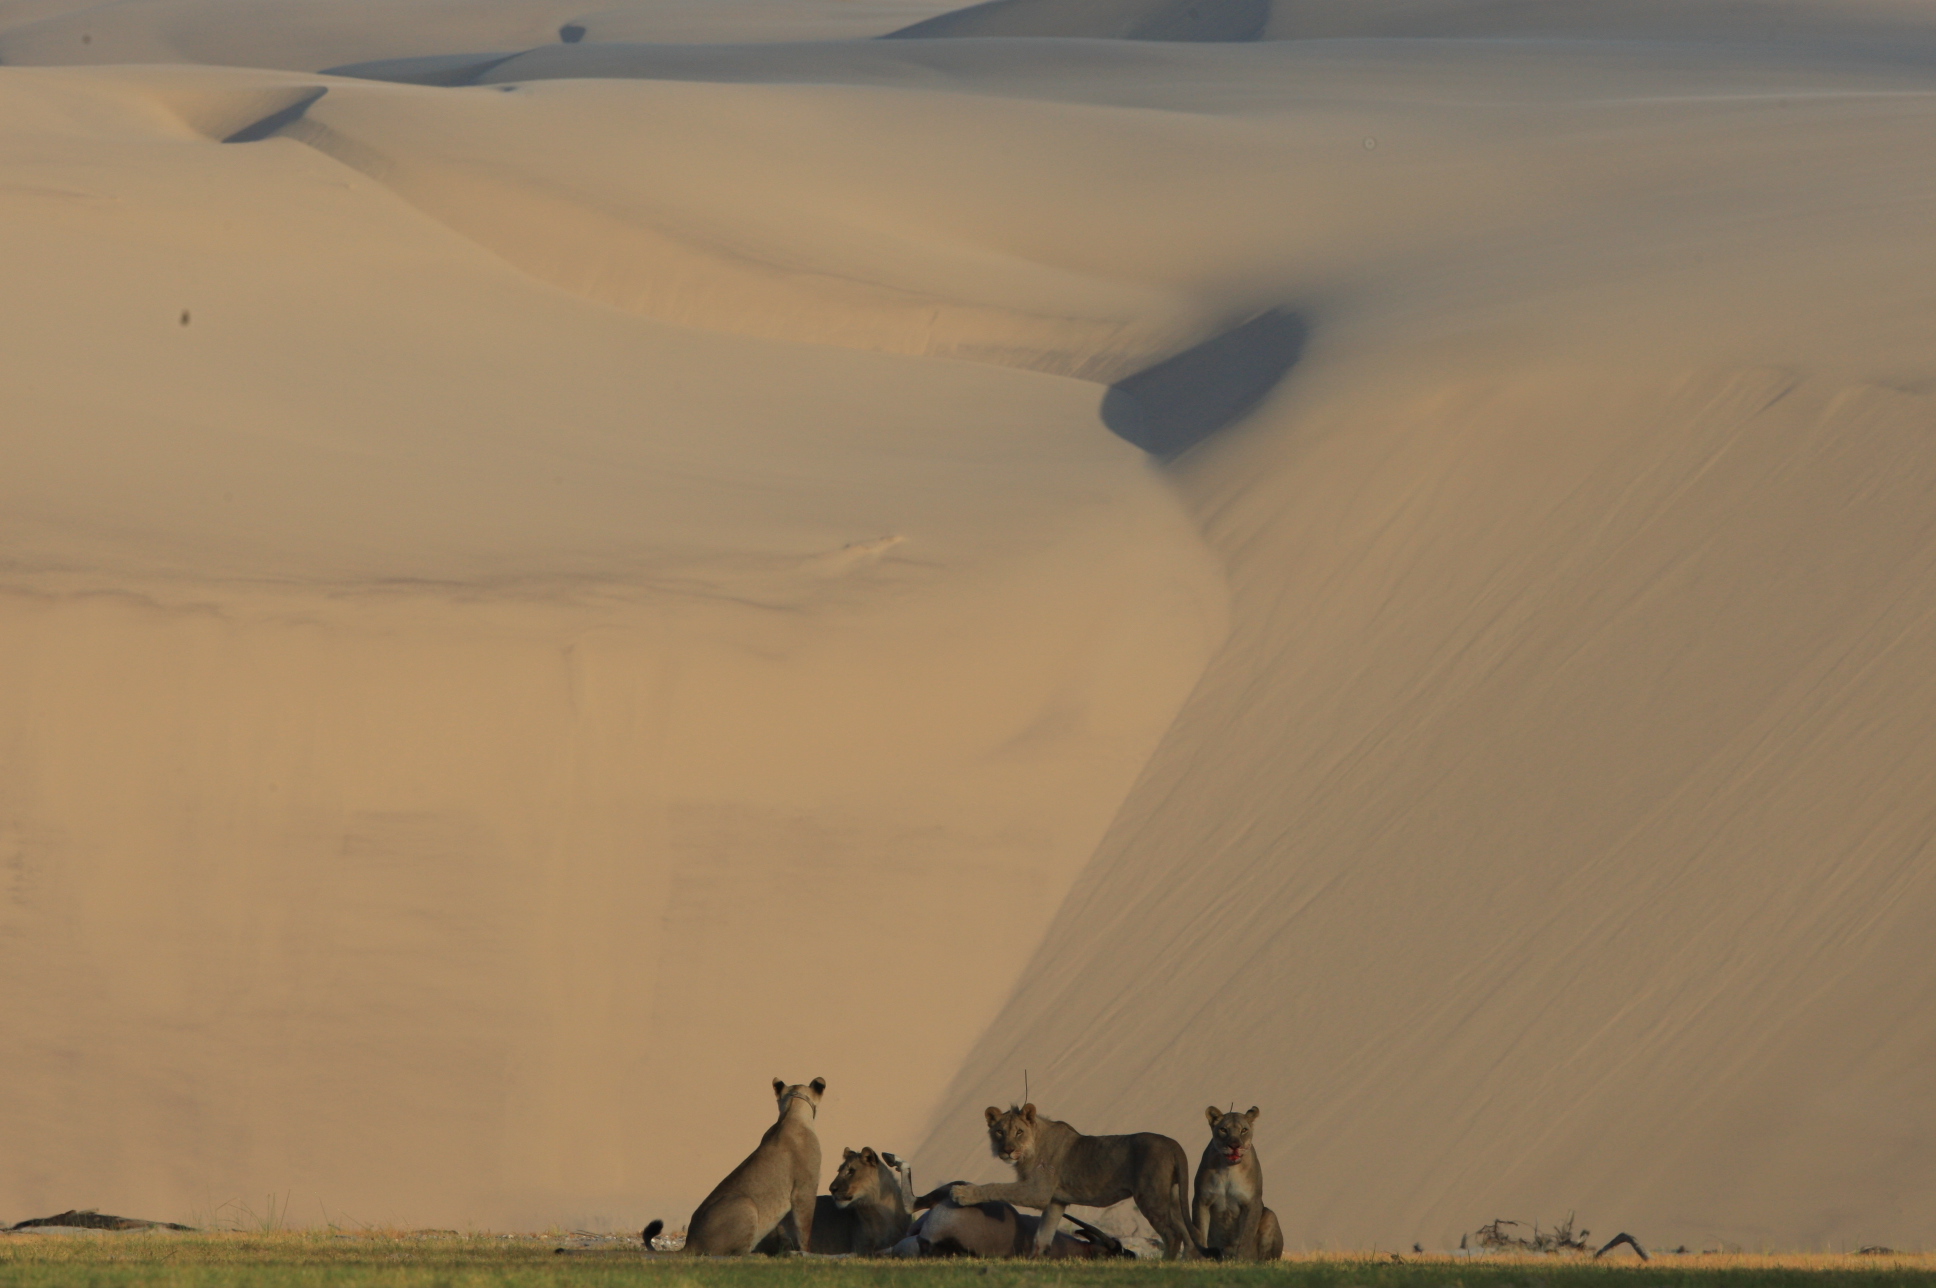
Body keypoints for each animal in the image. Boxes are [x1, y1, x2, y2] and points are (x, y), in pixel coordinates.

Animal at [642, 1076, 824, 1255]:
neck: (792, 1112)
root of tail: (690, 1243)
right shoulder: (805, 1189)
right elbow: (805, 1229)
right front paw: (805, 1253)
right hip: (746, 1204)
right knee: (735, 1253)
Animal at [948, 1092, 1200, 1255]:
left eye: (1019, 1132)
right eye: (999, 1132)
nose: (1007, 1150)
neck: (1030, 1147)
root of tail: (1172, 1143)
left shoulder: (1037, 1192)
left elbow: (996, 1187)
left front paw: (962, 1193)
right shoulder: (1055, 1201)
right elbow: (1042, 1237)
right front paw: (1035, 1261)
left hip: (1151, 1197)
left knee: (1173, 1235)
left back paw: (1165, 1264)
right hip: (1173, 1197)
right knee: (1187, 1234)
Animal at [1192, 1107, 1285, 1255]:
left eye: (1244, 1130)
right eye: (1223, 1129)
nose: (1234, 1145)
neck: (1229, 1170)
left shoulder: (1252, 1202)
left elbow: (1246, 1237)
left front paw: (1241, 1259)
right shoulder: (1201, 1200)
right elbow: (1200, 1234)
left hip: (1271, 1216)